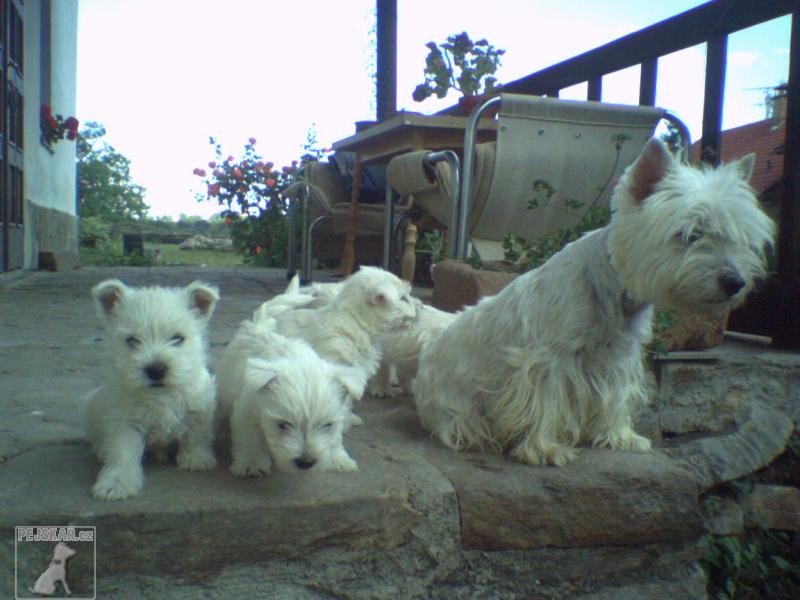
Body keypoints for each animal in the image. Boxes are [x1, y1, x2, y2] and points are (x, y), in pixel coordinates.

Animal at [84, 278, 219, 500]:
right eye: (132, 340)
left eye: (178, 338)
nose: (156, 370)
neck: (160, 395)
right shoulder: (125, 421)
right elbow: (123, 452)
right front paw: (115, 484)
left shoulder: (199, 407)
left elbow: (196, 433)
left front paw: (197, 459)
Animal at [220, 318, 368, 474]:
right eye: (282, 425)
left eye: (328, 425)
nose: (306, 462)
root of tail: (257, 327)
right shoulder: (247, 411)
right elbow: (251, 438)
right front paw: (251, 464)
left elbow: (335, 437)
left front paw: (340, 459)